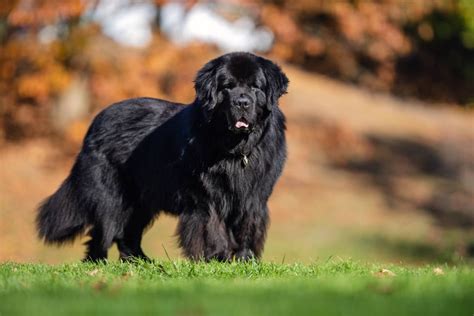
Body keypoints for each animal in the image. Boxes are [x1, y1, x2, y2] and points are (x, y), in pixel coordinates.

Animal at [36, 52, 288, 262]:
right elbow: (212, 227)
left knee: (128, 233)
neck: (235, 150)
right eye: (227, 87)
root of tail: (96, 121)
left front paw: (245, 259)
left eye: (255, 87)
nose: (242, 102)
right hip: (111, 197)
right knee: (104, 231)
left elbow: (248, 226)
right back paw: (98, 263)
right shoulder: (206, 197)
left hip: (141, 201)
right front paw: (219, 258)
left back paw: (140, 263)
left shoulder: (254, 196)